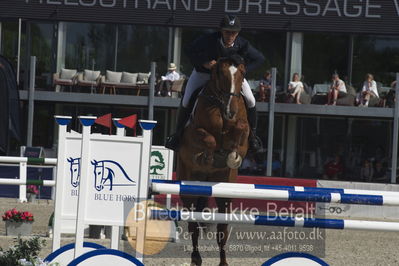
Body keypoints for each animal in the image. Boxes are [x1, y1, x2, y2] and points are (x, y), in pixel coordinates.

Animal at [179, 57, 250, 264]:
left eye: (242, 74)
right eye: (220, 73)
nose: (230, 111)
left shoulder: (244, 135)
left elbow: (241, 131)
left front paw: (232, 157)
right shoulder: (194, 132)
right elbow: (208, 138)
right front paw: (207, 157)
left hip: (224, 192)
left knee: (222, 230)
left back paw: (223, 262)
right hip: (188, 189)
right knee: (193, 226)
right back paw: (196, 258)